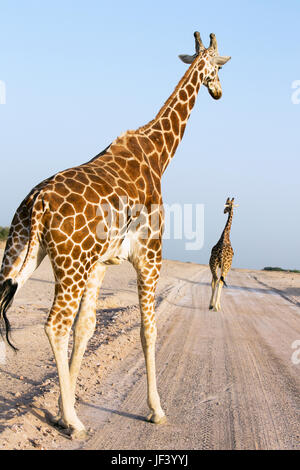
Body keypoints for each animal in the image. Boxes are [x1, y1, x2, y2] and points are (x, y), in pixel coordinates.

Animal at [0, 31, 231, 438]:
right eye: (218, 68)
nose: (219, 92)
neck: (159, 154)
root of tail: (37, 202)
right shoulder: (150, 256)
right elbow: (147, 330)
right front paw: (156, 410)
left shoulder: (100, 264)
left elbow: (87, 328)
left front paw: (60, 410)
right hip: (69, 264)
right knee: (54, 326)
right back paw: (78, 424)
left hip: (23, 252)